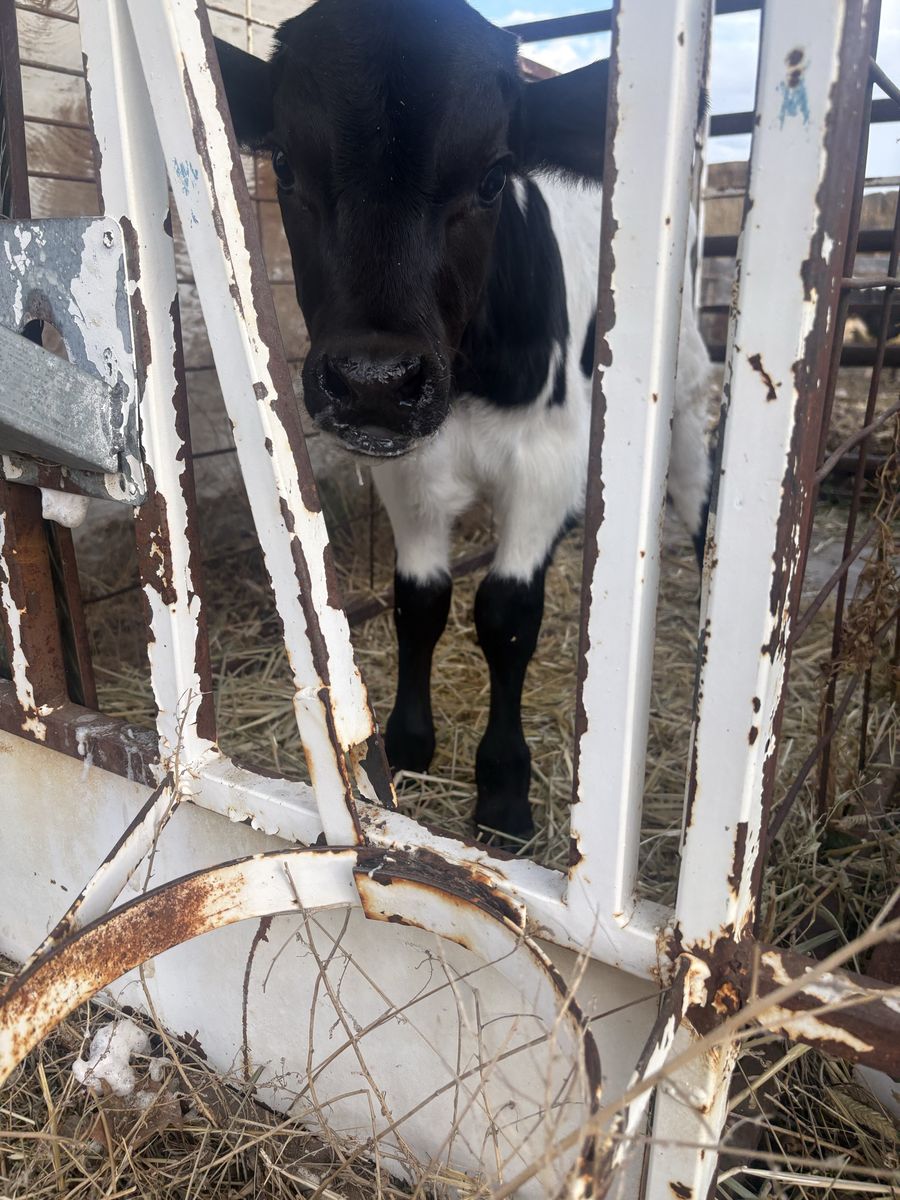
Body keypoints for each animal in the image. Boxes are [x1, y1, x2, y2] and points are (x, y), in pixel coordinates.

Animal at [214, 0, 714, 844]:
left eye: (491, 177)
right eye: (282, 162)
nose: (375, 382)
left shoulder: (545, 462)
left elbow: (508, 616)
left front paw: (505, 790)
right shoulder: (410, 467)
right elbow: (420, 604)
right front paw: (409, 742)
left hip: (685, 400)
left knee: (696, 494)